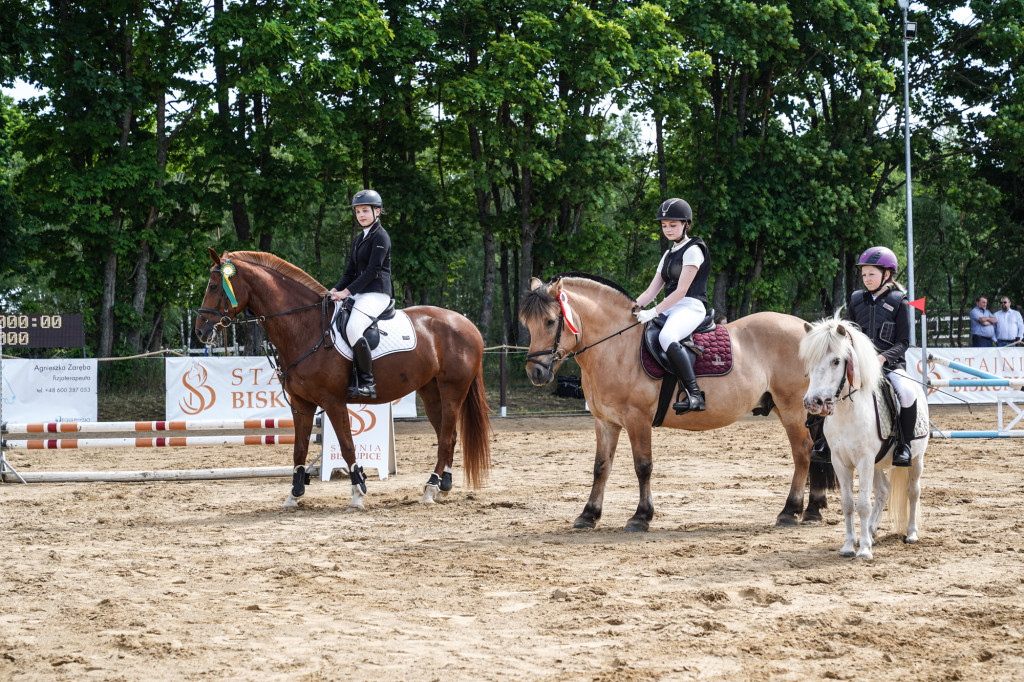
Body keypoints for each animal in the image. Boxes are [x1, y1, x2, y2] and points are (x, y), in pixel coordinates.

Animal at [198, 246, 491, 507]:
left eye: (213, 287)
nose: (200, 331)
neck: (305, 328)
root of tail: (468, 324)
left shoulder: (333, 401)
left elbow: (347, 445)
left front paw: (358, 492)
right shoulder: (301, 403)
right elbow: (299, 448)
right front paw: (294, 494)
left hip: (453, 390)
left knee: (446, 437)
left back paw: (430, 488)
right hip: (430, 392)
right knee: (448, 435)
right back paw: (442, 486)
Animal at [520, 274, 831, 532]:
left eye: (551, 321)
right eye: (528, 324)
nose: (536, 373)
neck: (616, 347)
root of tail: (807, 330)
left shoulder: (637, 419)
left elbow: (643, 466)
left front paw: (641, 517)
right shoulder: (605, 422)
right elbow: (601, 467)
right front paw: (588, 515)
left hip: (792, 409)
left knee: (802, 452)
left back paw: (790, 511)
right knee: (815, 451)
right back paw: (813, 510)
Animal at [798, 315, 929, 557]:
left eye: (836, 361)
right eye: (809, 361)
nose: (814, 402)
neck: (848, 413)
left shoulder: (865, 460)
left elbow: (863, 505)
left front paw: (865, 549)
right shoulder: (840, 461)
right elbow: (848, 504)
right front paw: (850, 545)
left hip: (916, 459)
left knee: (913, 491)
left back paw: (911, 533)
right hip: (877, 463)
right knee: (884, 490)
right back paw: (872, 531)